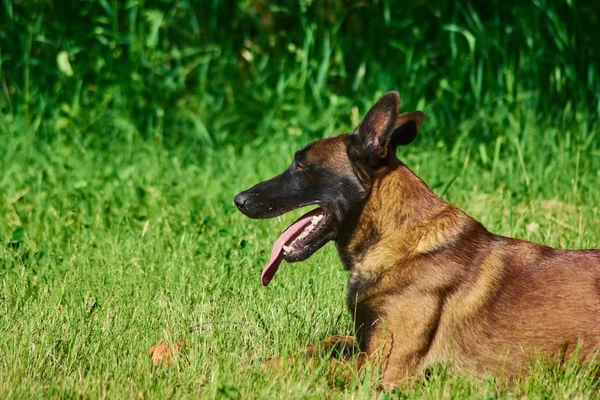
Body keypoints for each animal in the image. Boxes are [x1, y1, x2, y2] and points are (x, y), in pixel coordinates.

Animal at [234, 91, 600, 388]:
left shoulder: (381, 367)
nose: (239, 199)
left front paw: (249, 373)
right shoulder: (364, 342)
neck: (396, 244)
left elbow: (302, 367)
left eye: (300, 165)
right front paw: (249, 359)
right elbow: (321, 345)